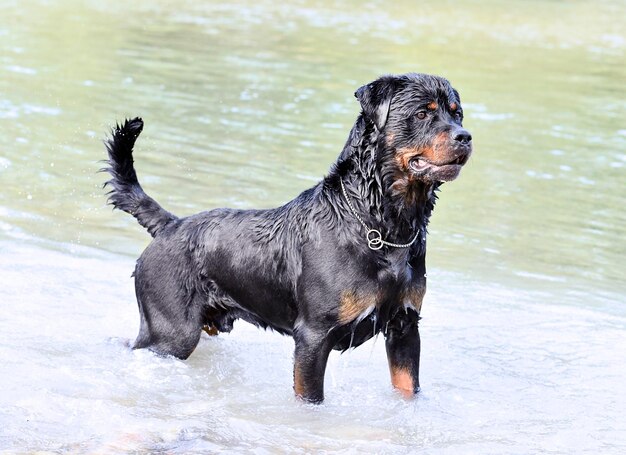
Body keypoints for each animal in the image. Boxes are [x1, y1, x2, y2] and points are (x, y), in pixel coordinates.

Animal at [102, 72, 470, 402]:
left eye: (457, 113)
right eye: (422, 113)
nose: (465, 136)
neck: (382, 222)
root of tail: (170, 224)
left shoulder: (405, 326)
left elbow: (408, 389)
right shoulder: (313, 336)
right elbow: (310, 399)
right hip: (169, 332)